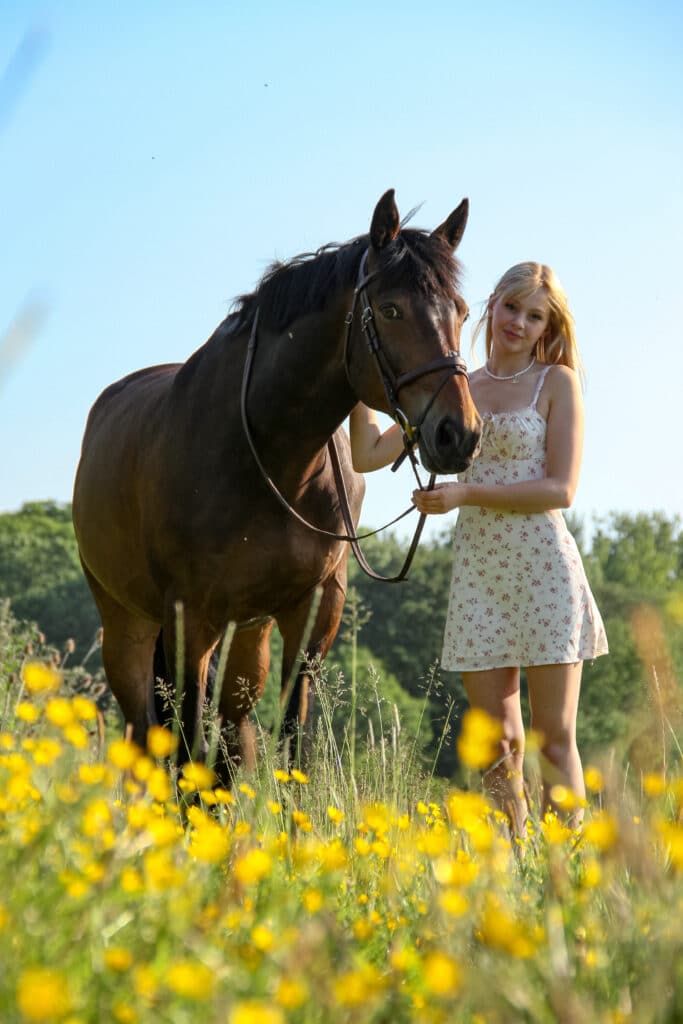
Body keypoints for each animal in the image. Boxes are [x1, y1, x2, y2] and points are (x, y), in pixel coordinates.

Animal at [72, 189, 482, 782]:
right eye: (391, 309)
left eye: (463, 311)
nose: (459, 433)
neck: (269, 458)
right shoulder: (189, 620)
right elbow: (187, 748)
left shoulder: (311, 619)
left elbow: (289, 748)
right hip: (128, 629)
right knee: (148, 736)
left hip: (248, 637)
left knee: (232, 739)